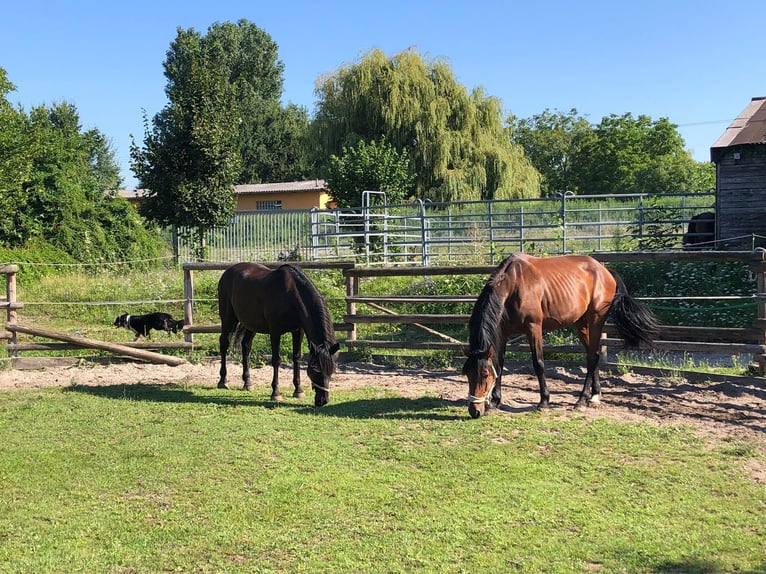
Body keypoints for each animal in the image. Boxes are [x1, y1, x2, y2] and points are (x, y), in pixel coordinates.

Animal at [214, 264, 338, 408]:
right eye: (315, 370)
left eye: (331, 371)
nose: (322, 401)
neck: (291, 294)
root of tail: (227, 272)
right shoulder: (275, 331)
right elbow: (276, 360)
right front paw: (276, 393)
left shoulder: (298, 331)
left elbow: (296, 357)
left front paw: (298, 391)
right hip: (228, 318)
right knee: (224, 343)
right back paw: (223, 381)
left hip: (251, 324)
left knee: (246, 347)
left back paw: (247, 383)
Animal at [462, 255, 660, 418]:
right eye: (467, 374)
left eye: (484, 375)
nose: (474, 411)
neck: (513, 286)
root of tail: (605, 271)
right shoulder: (502, 332)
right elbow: (499, 365)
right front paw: (495, 402)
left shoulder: (534, 328)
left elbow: (538, 363)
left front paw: (544, 401)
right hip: (581, 324)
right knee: (594, 354)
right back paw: (595, 395)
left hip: (596, 320)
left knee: (591, 357)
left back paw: (581, 400)